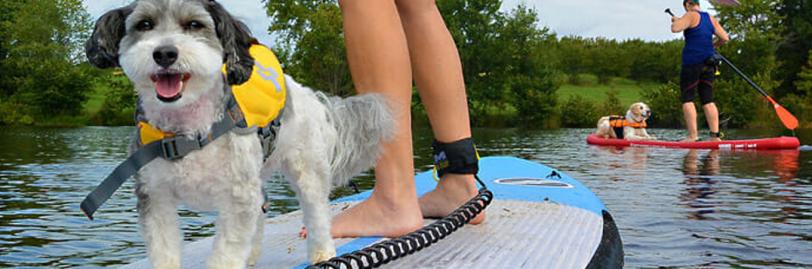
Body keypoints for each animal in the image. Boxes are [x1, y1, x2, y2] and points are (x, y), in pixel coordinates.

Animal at [85, 1, 394, 266]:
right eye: (145, 24)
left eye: (194, 24)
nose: (164, 53)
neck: (187, 134)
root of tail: (309, 94)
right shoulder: (155, 198)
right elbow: (164, 251)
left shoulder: (237, 199)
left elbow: (226, 253)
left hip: (307, 171)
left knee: (317, 213)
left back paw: (322, 253)